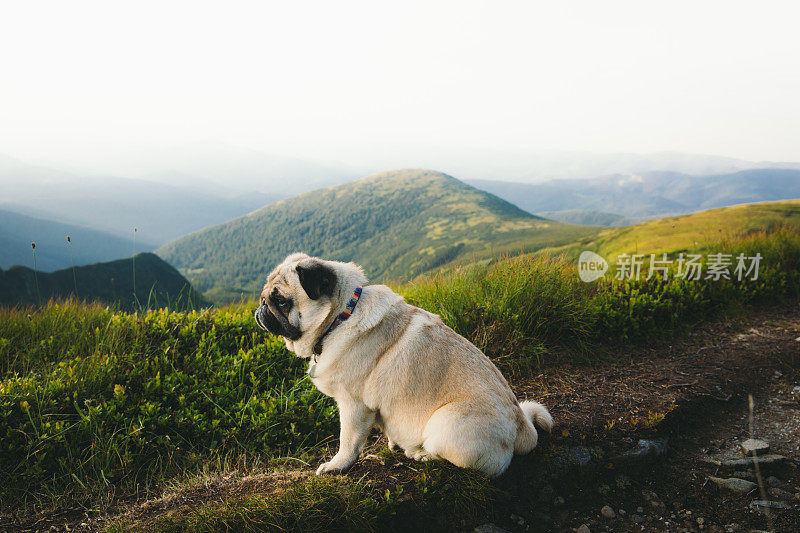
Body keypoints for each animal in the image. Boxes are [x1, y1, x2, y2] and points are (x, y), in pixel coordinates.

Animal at [253, 251, 552, 476]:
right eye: (265, 296)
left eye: (281, 300)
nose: (262, 307)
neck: (341, 317)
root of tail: (523, 428)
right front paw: (391, 440)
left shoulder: (353, 405)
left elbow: (348, 442)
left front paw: (336, 466)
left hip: (445, 425)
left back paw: (420, 453)